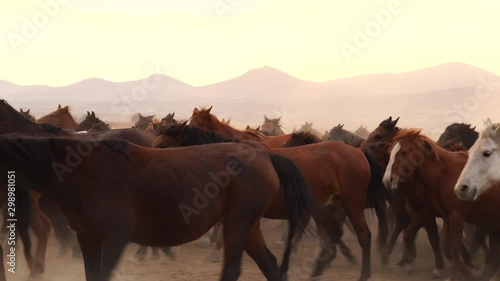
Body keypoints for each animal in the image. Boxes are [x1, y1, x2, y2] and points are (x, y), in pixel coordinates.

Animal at [0, 135, 318, 280]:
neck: (81, 171)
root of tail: (266, 156)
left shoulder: (114, 238)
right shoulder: (87, 237)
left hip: (238, 223)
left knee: (233, 269)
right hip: (246, 225)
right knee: (270, 264)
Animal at [154, 123, 376, 280]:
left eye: (163, 145)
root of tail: (357, 151)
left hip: (352, 203)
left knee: (364, 235)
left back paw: (364, 273)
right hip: (330, 206)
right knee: (335, 235)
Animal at [382, 128, 500, 278]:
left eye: (404, 152)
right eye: (389, 151)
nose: (387, 180)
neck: (445, 174)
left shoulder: (453, 215)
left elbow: (454, 248)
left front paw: (456, 275)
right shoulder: (445, 216)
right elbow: (443, 246)